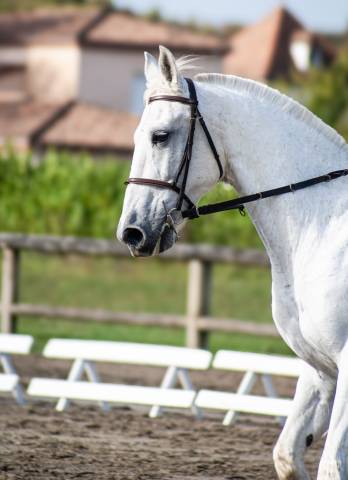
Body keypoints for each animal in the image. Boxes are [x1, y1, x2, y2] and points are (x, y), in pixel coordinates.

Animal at [117, 46, 348, 480]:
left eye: (160, 136)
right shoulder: (321, 369)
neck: (323, 224)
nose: (132, 233)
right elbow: (288, 455)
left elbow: (330, 466)